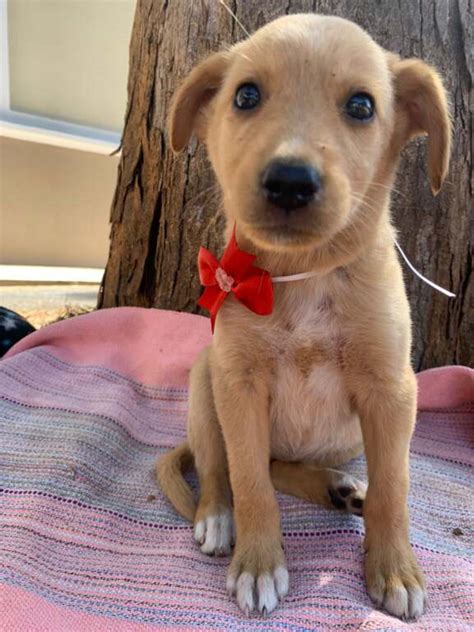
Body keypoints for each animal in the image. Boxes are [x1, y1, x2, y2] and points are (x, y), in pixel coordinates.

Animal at [156, 13, 452, 616]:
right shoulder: (240, 385)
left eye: (362, 105)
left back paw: (338, 488)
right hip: (204, 382)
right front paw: (258, 565)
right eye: (245, 95)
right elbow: (249, 482)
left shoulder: (392, 392)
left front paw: (395, 570)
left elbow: (394, 488)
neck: (306, 273)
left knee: (280, 465)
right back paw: (217, 518)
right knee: (222, 465)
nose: (290, 181)